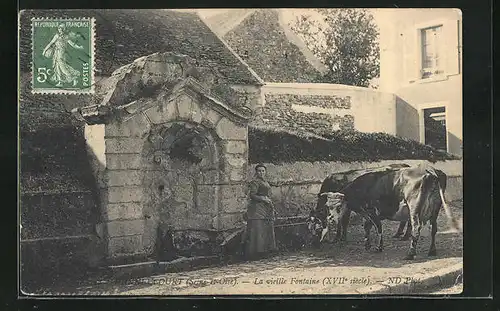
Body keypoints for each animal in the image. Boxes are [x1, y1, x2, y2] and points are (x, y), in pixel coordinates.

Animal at [318, 166, 458, 260]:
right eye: (327, 206)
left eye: (339, 206)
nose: (330, 219)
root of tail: (430, 170)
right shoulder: (365, 213)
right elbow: (367, 227)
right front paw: (367, 245)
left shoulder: (372, 211)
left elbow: (378, 228)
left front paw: (378, 247)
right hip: (435, 210)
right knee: (433, 228)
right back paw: (432, 251)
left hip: (414, 208)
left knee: (416, 228)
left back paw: (410, 253)